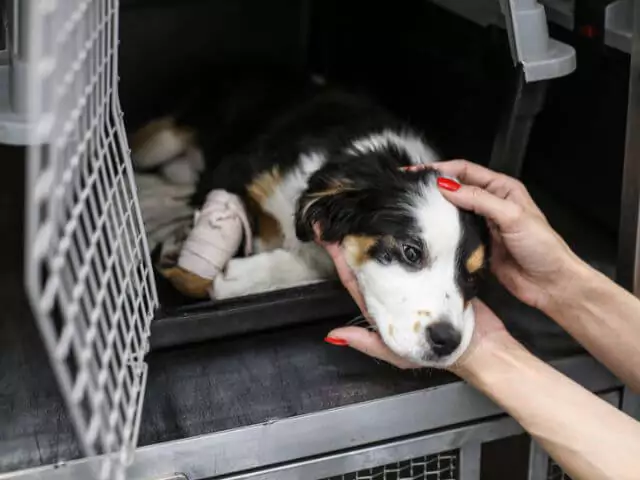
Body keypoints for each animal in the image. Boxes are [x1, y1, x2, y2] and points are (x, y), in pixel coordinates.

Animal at [132, 84, 488, 366]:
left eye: (473, 277)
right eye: (411, 252)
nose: (447, 342)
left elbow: (316, 261)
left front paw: (241, 277)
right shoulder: (229, 172)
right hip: (162, 141)